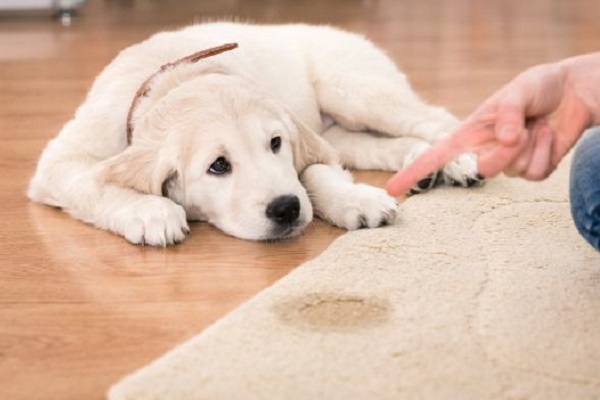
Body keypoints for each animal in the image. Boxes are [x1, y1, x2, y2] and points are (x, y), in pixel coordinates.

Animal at [28, 23, 480, 247]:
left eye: (275, 144)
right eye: (218, 166)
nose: (286, 209)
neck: (174, 77)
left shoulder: (305, 143)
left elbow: (314, 173)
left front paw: (355, 200)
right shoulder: (60, 162)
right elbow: (94, 183)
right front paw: (151, 211)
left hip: (355, 90)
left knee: (434, 117)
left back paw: (458, 161)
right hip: (342, 127)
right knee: (377, 144)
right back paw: (421, 165)